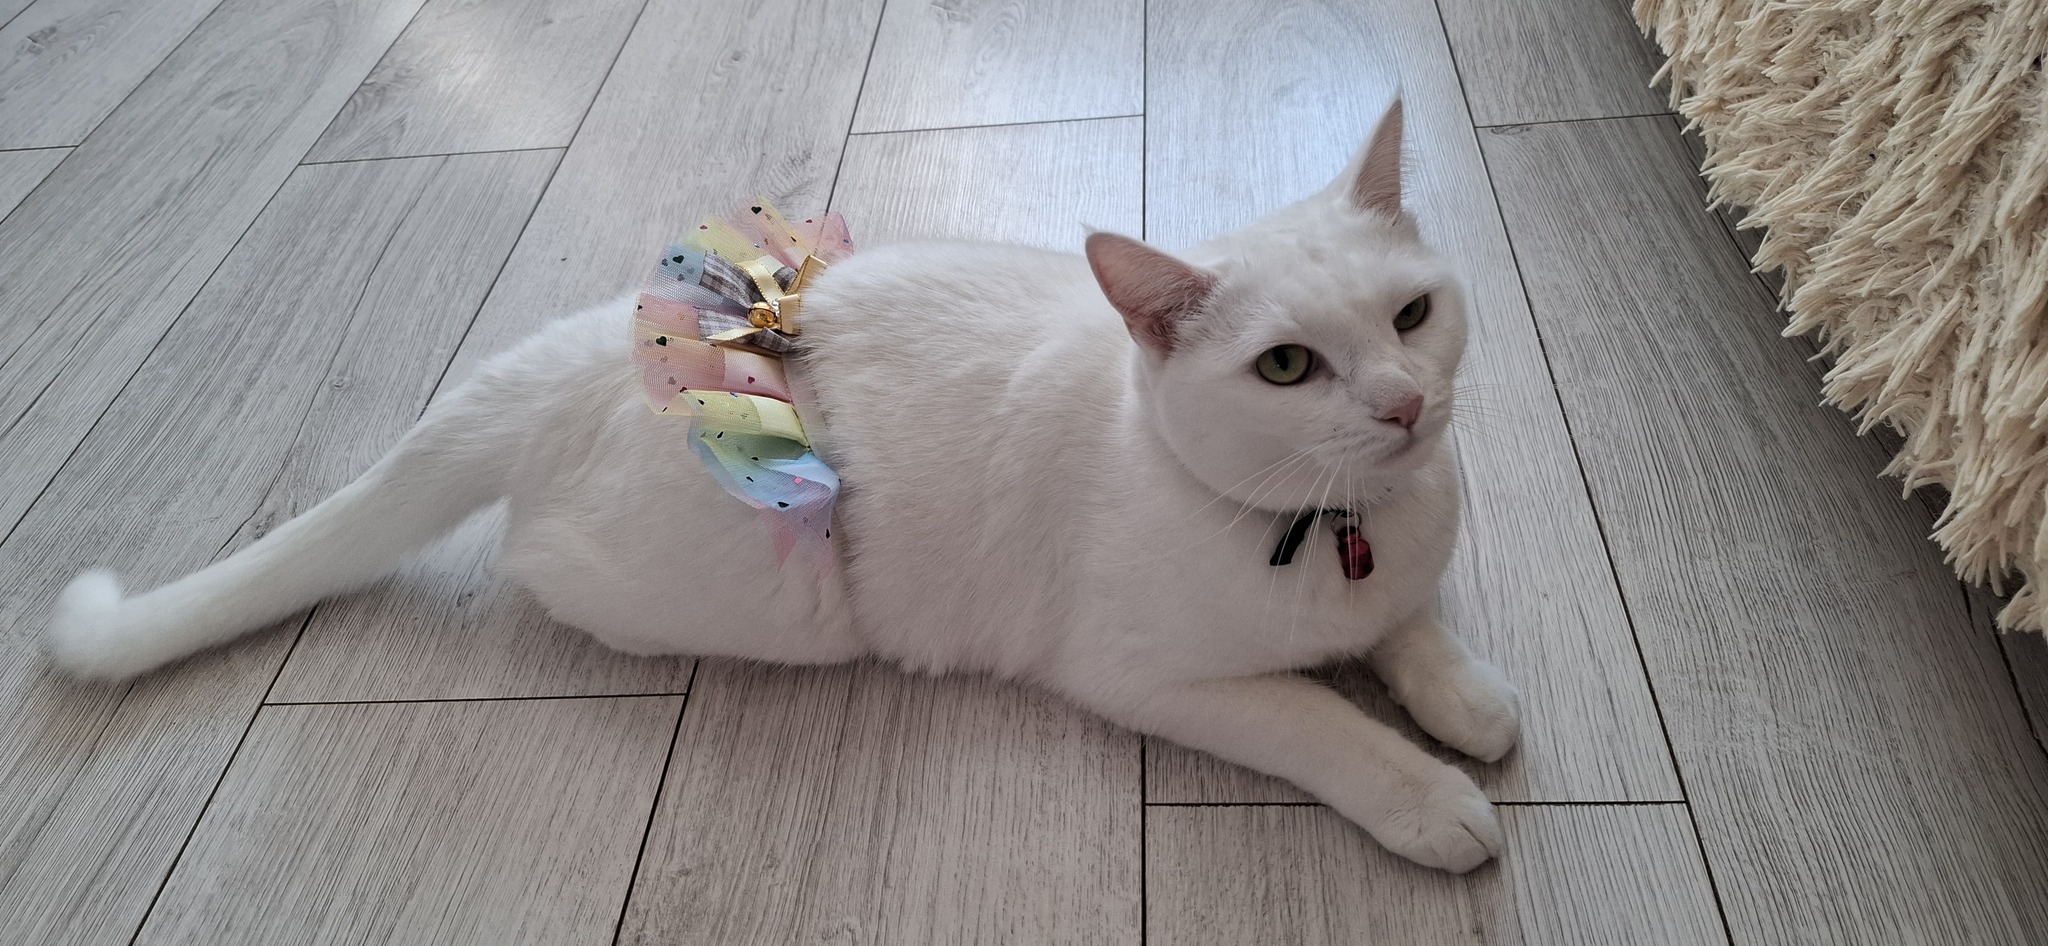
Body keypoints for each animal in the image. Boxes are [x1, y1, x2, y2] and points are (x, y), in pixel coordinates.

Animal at [44, 100, 1520, 873]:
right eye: (1286, 366)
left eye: (1410, 314)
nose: (1402, 403)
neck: (1331, 527)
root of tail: (569, 354)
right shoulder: (1147, 675)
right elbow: (1314, 719)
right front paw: (1429, 792)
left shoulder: (1396, 564)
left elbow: (1413, 629)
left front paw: (1464, 696)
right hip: (765, 601)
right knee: (534, 561)